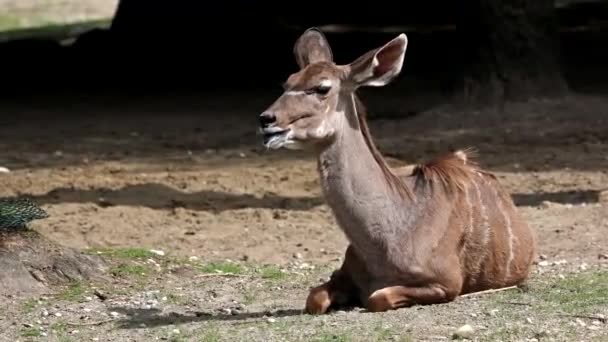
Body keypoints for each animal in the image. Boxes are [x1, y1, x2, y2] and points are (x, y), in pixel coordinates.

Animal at [258, 28, 536, 314]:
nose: (266, 120)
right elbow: (314, 298)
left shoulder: (447, 283)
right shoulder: (343, 273)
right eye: (287, 83)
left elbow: (376, 298)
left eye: (322, 87)